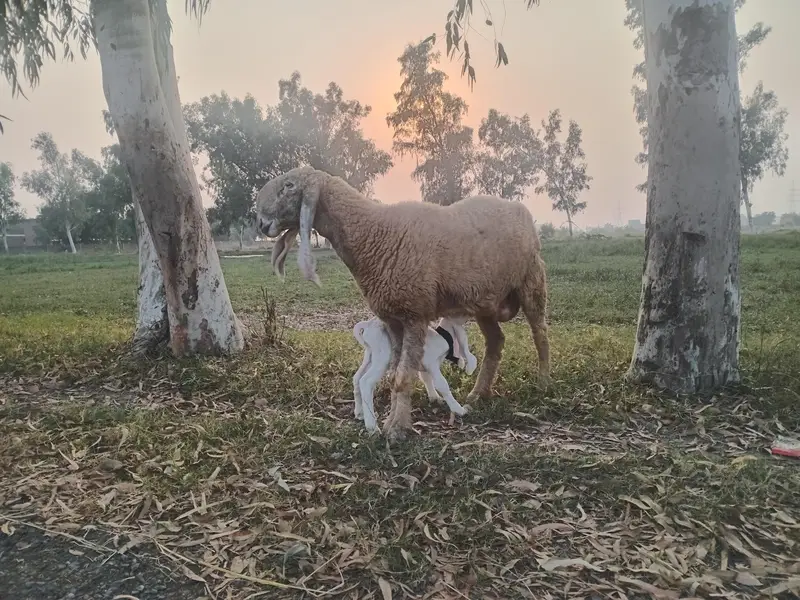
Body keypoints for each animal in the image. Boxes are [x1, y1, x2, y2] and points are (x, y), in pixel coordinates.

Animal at [257, 166, 550, 441]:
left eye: (289, 185)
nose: (260, 223)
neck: (375, 233)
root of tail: (518, 207)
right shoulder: (393, 320)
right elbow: (396, 374)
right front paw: (392, 422)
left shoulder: (415, 314)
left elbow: (402, 376)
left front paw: (397, 430)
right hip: (485, 301)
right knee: (496, 341)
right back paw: (478, 394)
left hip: (532, 282)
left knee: (540, 335)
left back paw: (542, 382)